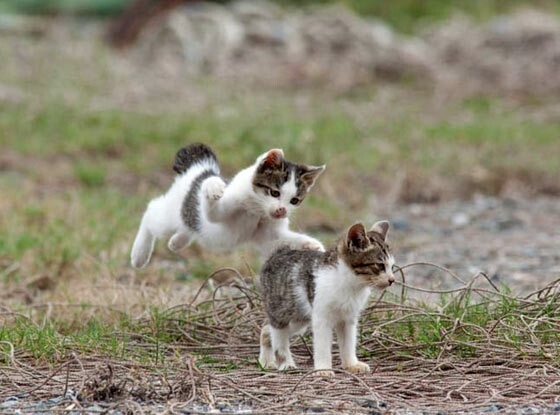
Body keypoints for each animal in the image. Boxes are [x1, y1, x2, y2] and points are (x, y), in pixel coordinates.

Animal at [130, 144, 326, 270]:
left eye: (294, 200)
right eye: (274, 193)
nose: (281, 211)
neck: (256, 210)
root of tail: (198, 169)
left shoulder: (267, 235)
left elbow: (283, 240)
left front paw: (312, 244)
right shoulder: (218, 213)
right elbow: (212, 208)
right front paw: (214, 186)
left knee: (189, 225)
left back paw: (176, 242)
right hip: (168, 215)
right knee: (151, 210)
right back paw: (139, 254)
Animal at [258, 223, 394, 378]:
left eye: (392, 266)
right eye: (380, 265)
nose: (392, 280)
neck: (350, 284)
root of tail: (279, 252)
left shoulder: (348, 319)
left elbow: (348, 343)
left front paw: (351, 365)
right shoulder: (321, 318)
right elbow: (322, 345)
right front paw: (323, 369)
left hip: (298, 319)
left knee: (266, 328)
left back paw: (266, 362)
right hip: (281, 312)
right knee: (278, 335)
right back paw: (285, 363)